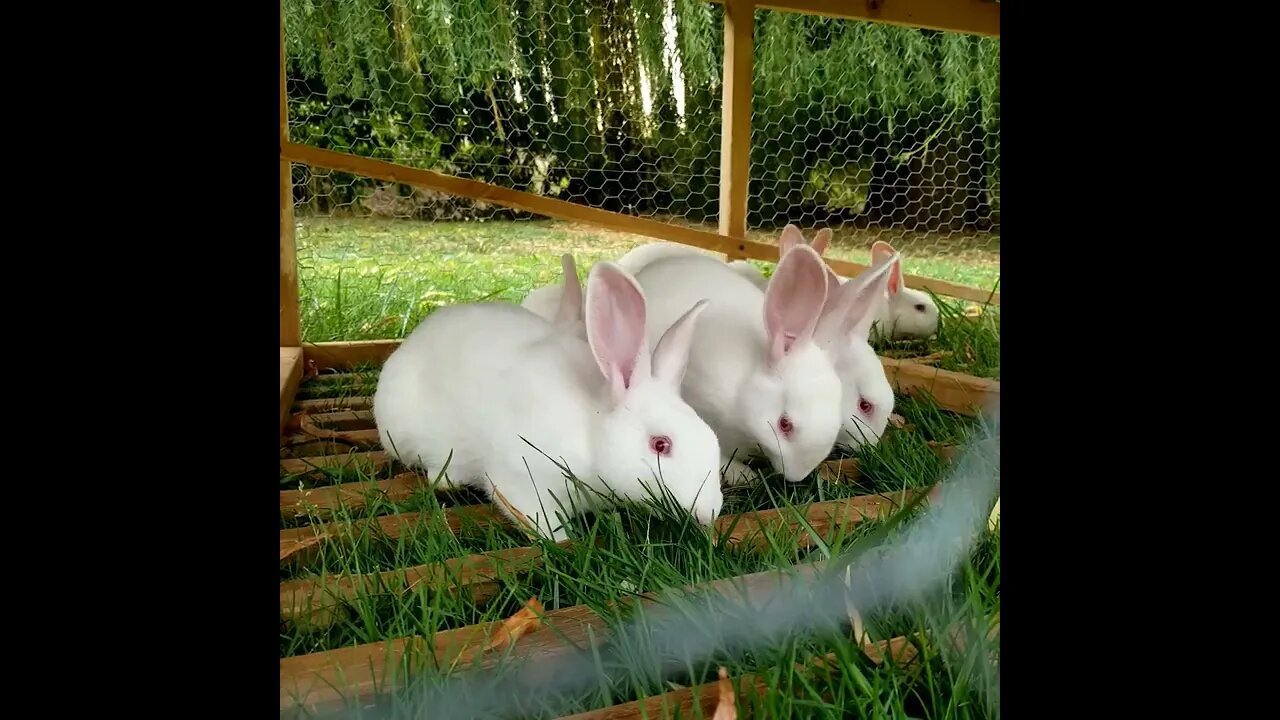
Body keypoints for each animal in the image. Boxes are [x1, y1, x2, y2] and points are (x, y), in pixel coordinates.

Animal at [373, 257, 727, 538]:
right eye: (660, 445)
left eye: (712, 438)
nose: (709, 512)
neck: (592, 429)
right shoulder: (522, 477)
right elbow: (536, 520)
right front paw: (561, 541)